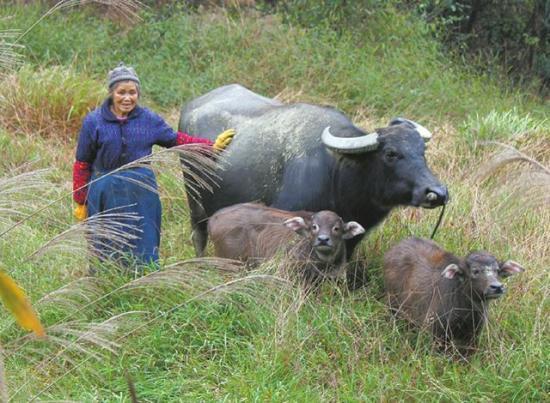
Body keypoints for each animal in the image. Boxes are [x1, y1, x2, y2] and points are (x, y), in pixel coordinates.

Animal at [179, 84, 450, 258]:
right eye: (391, 154)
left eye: (422, 150)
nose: (437, 192)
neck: (339, 174)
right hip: (195, 201)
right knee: (199, 234)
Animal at [384, 237, 528, 354]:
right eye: (475, 271)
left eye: (497, 270)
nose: (497, 287)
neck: (465, 313)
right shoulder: (437, 334)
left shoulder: (472, 337)